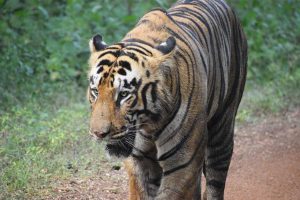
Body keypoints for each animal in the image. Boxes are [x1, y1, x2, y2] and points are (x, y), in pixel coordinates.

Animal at [86, 0, 246, 198]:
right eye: (95, 91)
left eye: (123, 94)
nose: (98, 134)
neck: (149, 124)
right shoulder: (139, 163)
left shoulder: (182, 164)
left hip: (222, 131)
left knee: (214, 183)